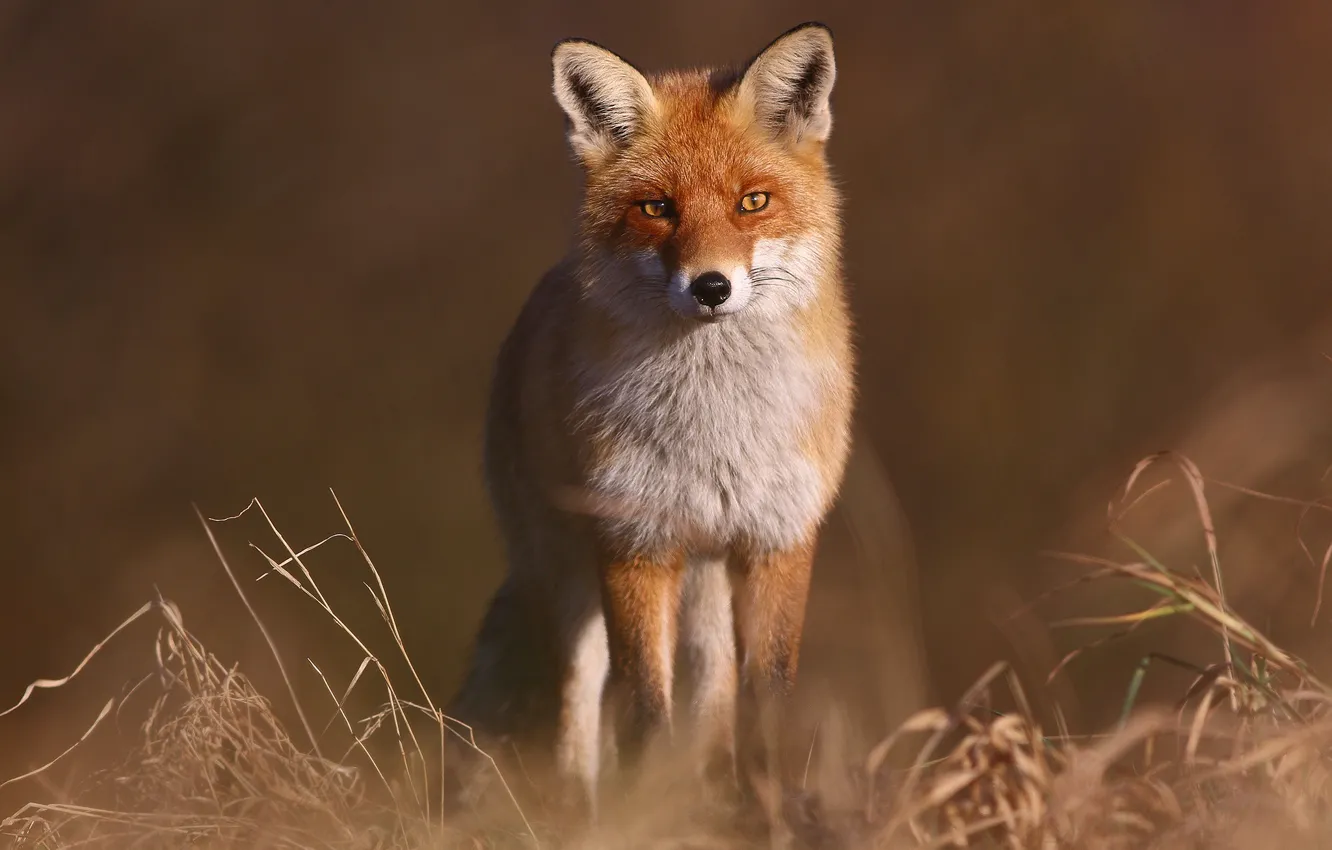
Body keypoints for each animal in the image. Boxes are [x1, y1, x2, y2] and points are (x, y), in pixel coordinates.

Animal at [444, 22, 855, 820]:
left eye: (753, 201)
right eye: (657, 208)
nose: (711, 286)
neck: (718, 430)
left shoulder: (778, 539)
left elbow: (767, 700)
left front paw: (773, 808)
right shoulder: (635, 542)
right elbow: (642, 713)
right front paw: (640, 813)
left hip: (707, 585)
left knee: (713, 702)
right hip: (568, 576)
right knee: (579, 711)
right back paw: (581, 815)